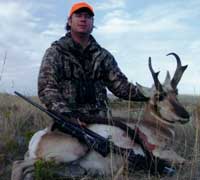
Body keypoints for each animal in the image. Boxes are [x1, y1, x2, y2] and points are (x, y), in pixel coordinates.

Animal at [11, 52, 190, 179]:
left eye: (176, 92)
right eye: (159, 96)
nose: (186, 115)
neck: (152, 125)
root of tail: (43, 133)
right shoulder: (160, 153)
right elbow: (183, 161)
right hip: (75, 149)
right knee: (17, 164)